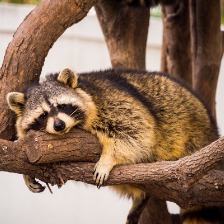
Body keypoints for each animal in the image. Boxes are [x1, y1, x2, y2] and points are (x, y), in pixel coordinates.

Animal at [6, 68, 220, 222]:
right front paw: (28, 171)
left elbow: (136, 131)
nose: (59, 126)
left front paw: (108, 159)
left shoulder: (113, 103)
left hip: (193, 135)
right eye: (43, 115)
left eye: (62, 106)